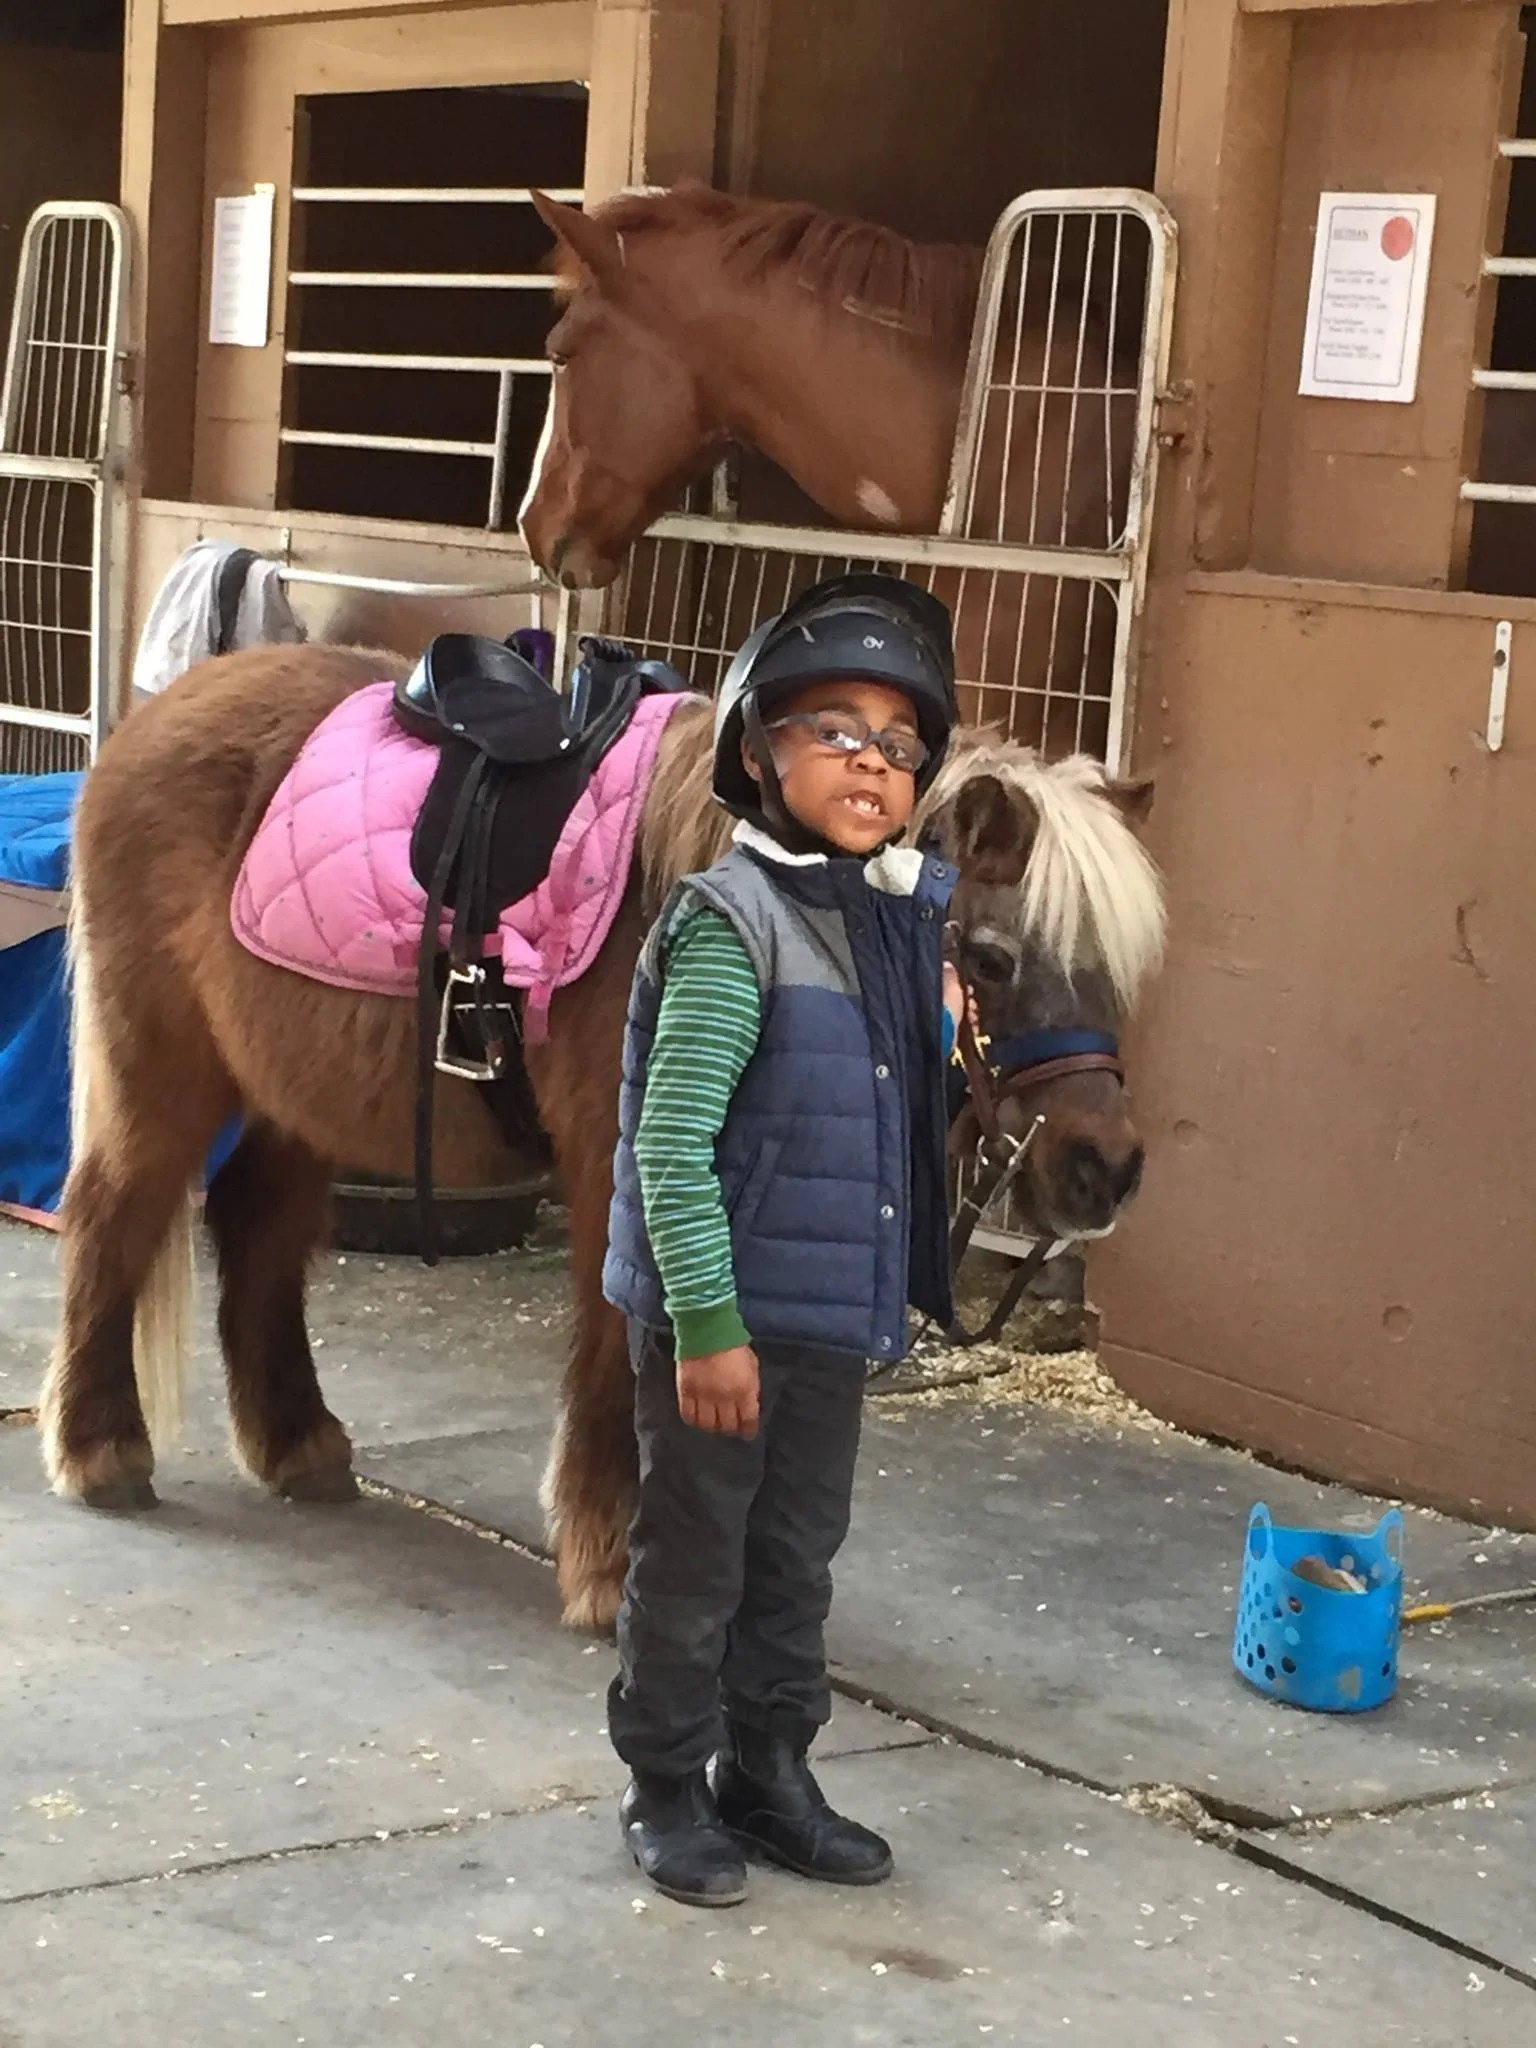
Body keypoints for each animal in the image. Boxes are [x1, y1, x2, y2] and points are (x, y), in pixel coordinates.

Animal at [38, 642, 1165, 1629]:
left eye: (1119, 969)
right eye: (992, 958)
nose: (1105, 1170)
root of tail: (151, 722)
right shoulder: (628, 1181)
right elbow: (623, 1364)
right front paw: (612, 1564)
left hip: (298, 1088)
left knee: (259, 1230)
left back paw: (295, 1443)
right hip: (164, 1069)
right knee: (111, 1213)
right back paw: (100, 1449)